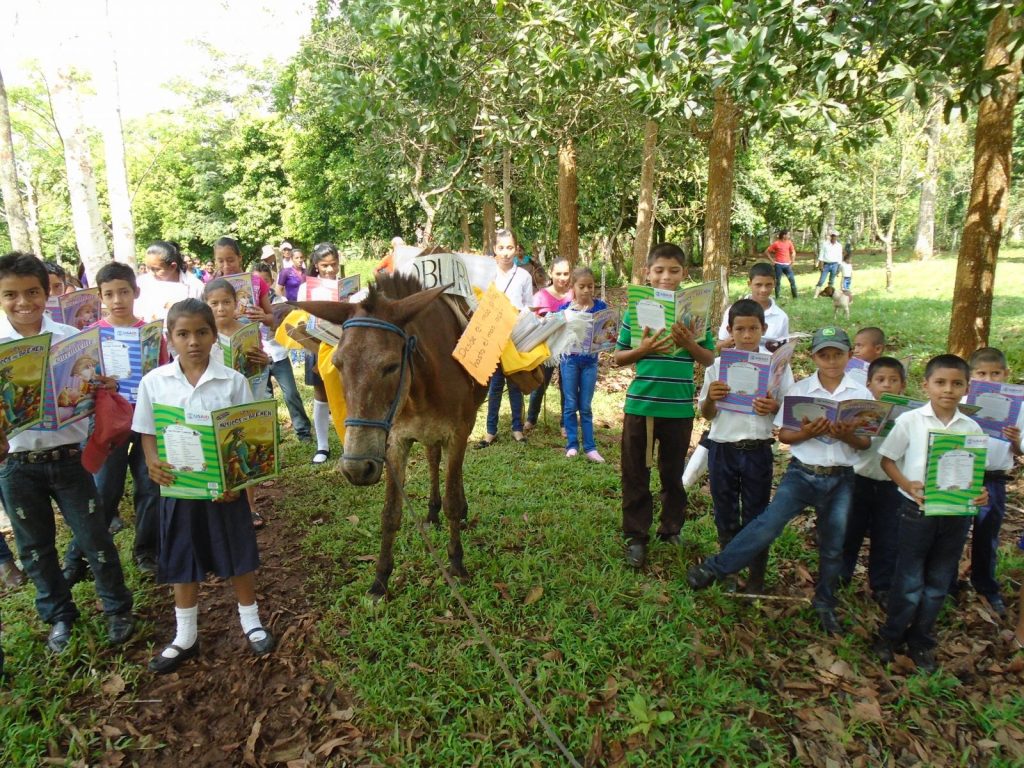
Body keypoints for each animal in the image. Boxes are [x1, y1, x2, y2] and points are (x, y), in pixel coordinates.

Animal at [294, 272, 485, 602]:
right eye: (338, 364)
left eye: (392, 366)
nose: (357, 469)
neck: (420, 389)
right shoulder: (395, 441)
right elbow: (390, 513)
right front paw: (380, 579)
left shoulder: (457, 433)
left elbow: (451, 496)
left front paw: (457, 563)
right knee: (433, 460)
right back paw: (432, 512)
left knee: (451, 472)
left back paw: (459, 510)